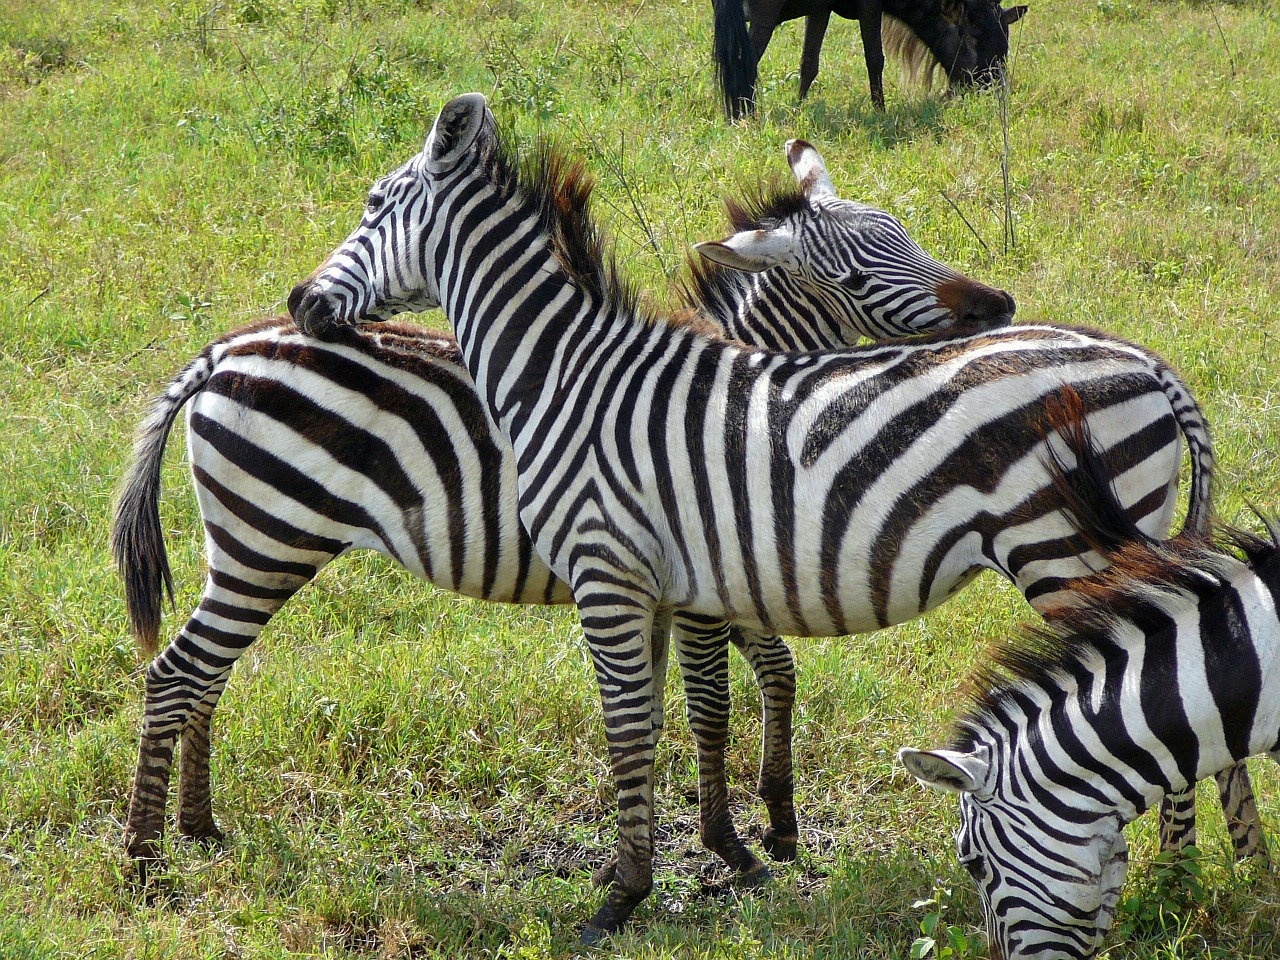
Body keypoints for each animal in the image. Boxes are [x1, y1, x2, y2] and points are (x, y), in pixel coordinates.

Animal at [112, 138, 1008, 885]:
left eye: (907, 234)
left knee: (207, 672)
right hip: (270, 538)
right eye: (854, 275)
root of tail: (223, 349)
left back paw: (199, 826)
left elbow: (754, 680)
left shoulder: (699, 574)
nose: (997, 305)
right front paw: (731, 845)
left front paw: (770, 819)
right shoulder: (700, 582)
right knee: (178, 672)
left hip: (246, 545)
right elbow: (711, 705)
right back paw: (147, 856)